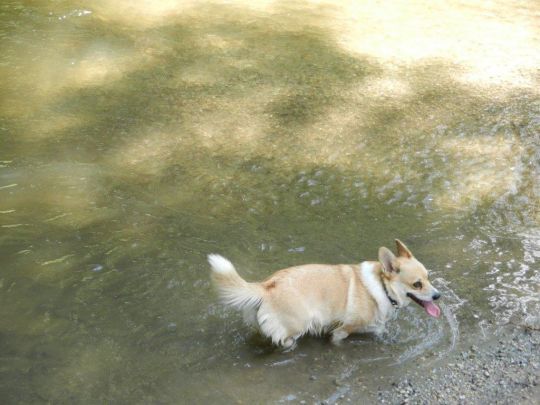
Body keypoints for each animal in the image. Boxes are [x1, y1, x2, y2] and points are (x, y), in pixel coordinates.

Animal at [208, 239, 441, 350]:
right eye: (417, 284)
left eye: (428, 277)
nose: (438, 296)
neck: (382, 287)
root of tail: (267, 286)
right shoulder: (342, 330)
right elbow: (338, 339)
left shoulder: (375, 327)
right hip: (297, 326)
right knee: (286, 340)